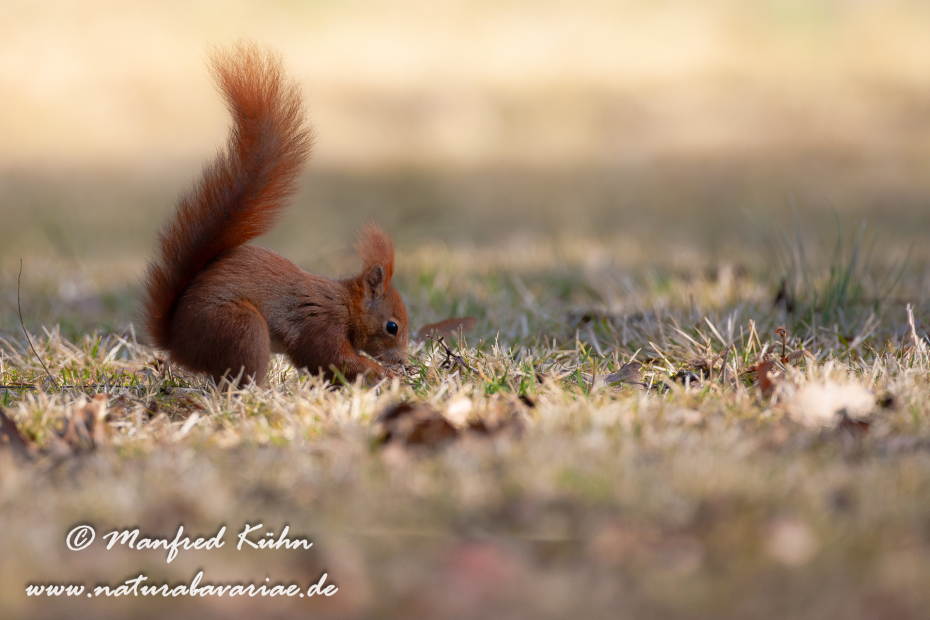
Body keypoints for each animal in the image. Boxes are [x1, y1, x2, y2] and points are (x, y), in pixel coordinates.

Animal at [140, 43, 408, 386]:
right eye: (392, 327)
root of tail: (175, 342)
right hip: (242, 327)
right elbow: (329, 358)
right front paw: (383, 373)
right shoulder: (321, 324)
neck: (345, 304)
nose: (403, 360)